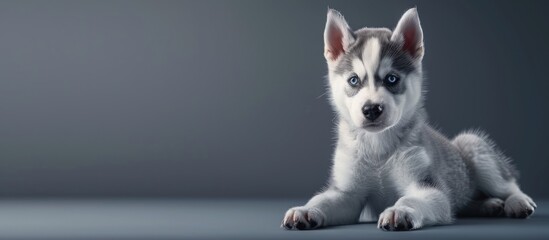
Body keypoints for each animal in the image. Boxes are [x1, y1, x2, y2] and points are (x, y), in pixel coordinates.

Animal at [282, 8, 536, 232]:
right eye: (353, 80)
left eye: (392, 79)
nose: (371, 109)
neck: (378, 148)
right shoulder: (347, 193)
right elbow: (323, 200)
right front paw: (305, 210)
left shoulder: (427, 186)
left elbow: (412, 199)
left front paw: (400, 211)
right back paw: (488, 205)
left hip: (475, 148)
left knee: (508, 184)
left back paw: (517, 202)